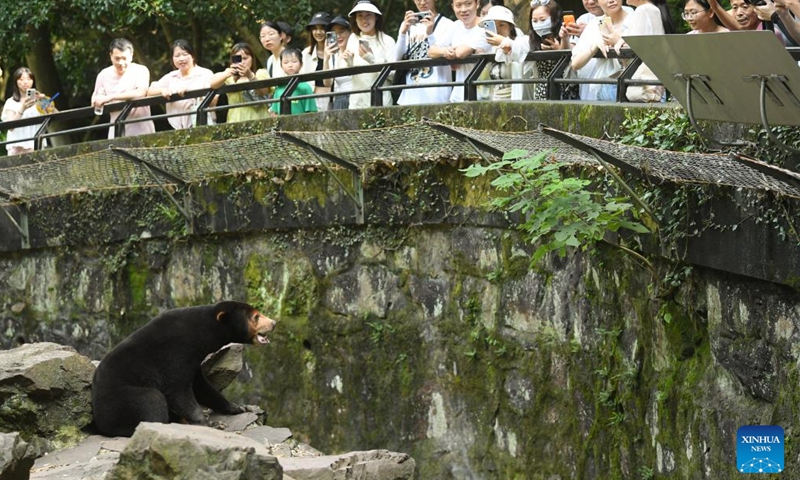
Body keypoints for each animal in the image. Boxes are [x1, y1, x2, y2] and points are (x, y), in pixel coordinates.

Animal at [91, 301, 277, 437]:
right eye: (256, 317)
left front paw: (240, 408)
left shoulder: (193, 362)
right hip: (121, 400)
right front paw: (212, 424)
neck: (201, 334)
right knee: (151, 401)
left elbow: (203, 387)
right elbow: (179, 391)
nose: (274, 323)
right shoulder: (175, 355)